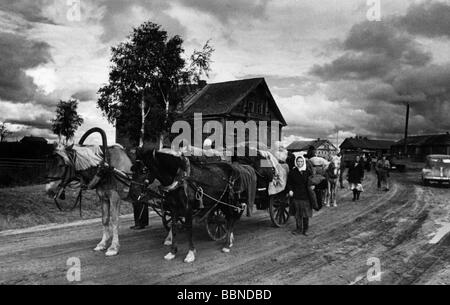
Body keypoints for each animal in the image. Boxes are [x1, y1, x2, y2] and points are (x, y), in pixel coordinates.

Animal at [45, 128, 133, 256]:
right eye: (49, 164)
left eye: (62, 165)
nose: (49, 190)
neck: (106, 167)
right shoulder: (103, 197)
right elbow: (105, 219)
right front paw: (102, 244)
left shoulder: (115, 197)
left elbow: (114, 220)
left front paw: (113, 247)